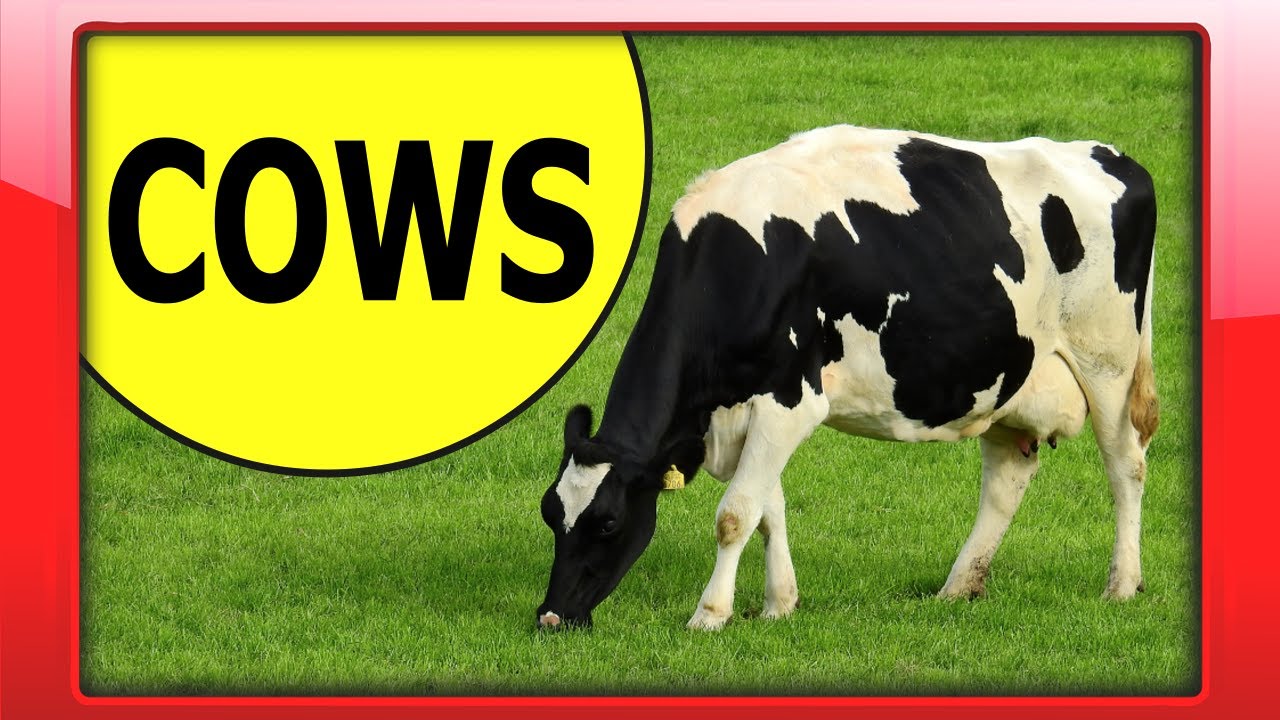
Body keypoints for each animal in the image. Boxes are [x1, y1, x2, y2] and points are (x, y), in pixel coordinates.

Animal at [536, 125, 1158, 631]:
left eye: (609, 523)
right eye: (550, 513)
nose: (551, 616)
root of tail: (1115, 157)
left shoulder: (790, 400)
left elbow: (736, 515)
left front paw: (710, 614)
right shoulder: (755, 408)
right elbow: (768, 509)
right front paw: (779, 604)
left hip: (1107, 361)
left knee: (1125, 464)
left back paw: (1122, 585)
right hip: (1009, 378)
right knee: (1007, 479)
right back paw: (959, 587)